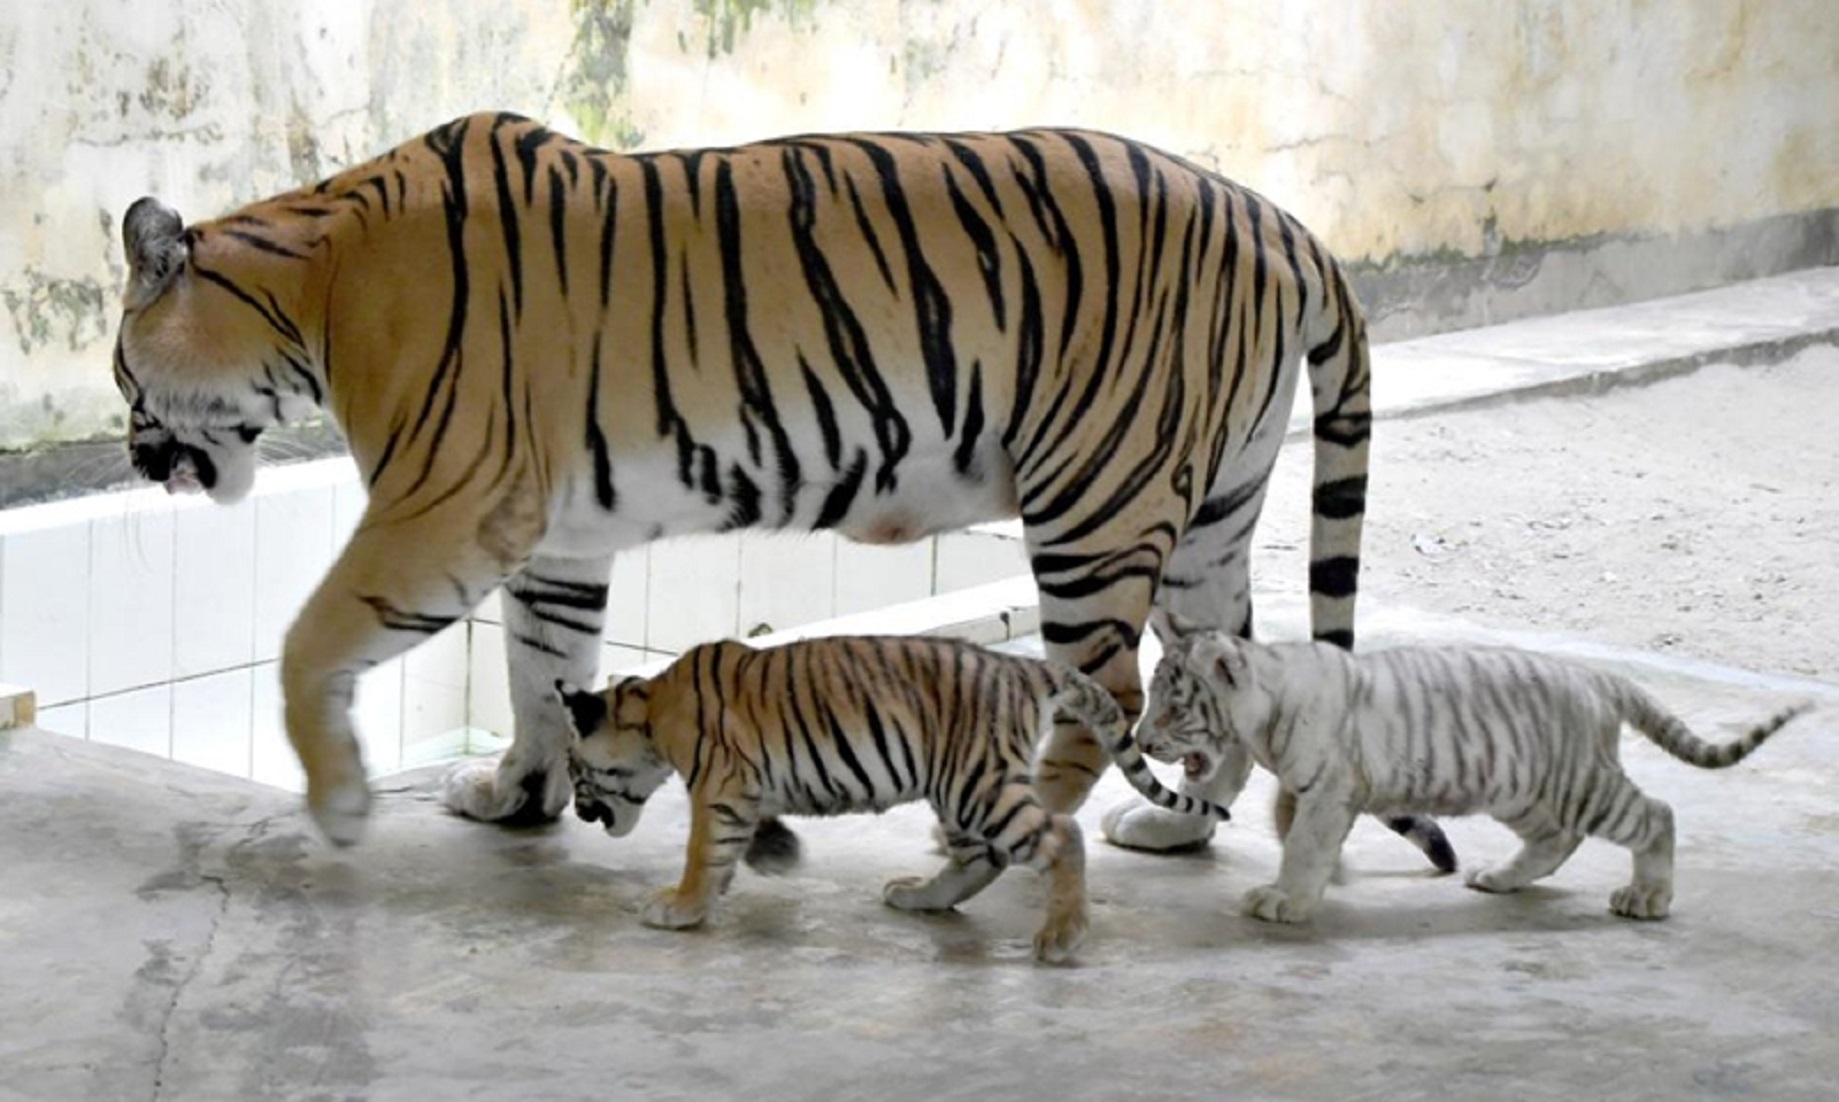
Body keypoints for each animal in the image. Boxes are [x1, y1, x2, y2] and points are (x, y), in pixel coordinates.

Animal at [111, 114, 1449, 872]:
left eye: (122, 368)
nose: (131, 453)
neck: (311, 282)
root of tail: (1282, 217)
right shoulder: (551, 529)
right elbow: (542, 670)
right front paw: (520, 798)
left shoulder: (443, 506)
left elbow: (312, 641)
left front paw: (341, 809)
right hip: (1206, 519)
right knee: (1229, 666)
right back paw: (1179, 827)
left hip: (1096, 502)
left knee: (1105, 693)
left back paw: (999, 835)